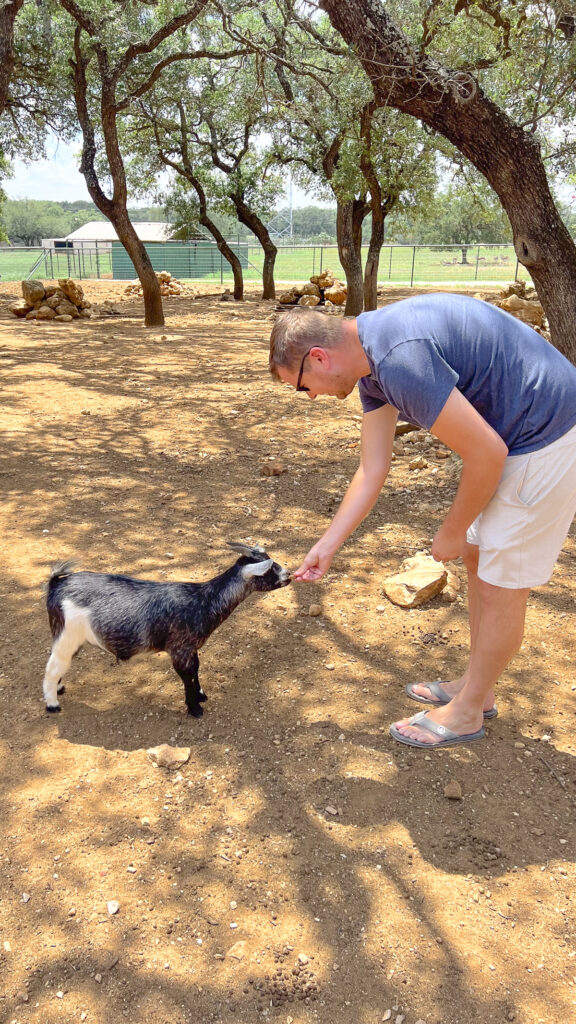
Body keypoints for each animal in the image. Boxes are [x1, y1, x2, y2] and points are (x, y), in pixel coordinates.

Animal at [42, 540, 289, 716]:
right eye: (270, 569)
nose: (288, 575)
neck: (202, 601)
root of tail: (57, 585)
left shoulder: (191, 648)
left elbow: (196, 669)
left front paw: (201, 695)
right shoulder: (178, 649)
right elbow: (186, 676)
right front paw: (194, 708)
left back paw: (59, 689)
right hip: (66, 634)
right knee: (53, 666)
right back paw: (52, 703)